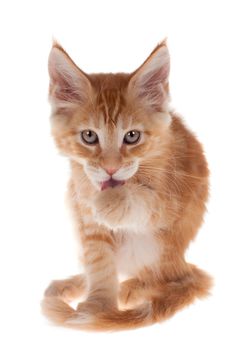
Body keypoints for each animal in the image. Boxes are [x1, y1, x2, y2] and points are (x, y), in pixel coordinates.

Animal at [41, 40, 211, 330]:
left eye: (132, 136)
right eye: (89, 136)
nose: (110, 168)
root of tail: (181, 262)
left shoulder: (170, 198)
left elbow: (142, 199)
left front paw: (109, 200)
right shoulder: (88, 223)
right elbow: (99, 263)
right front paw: (98, 304)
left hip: (162, 247)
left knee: (166, 277)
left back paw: (134, 287)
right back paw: (77, 283)